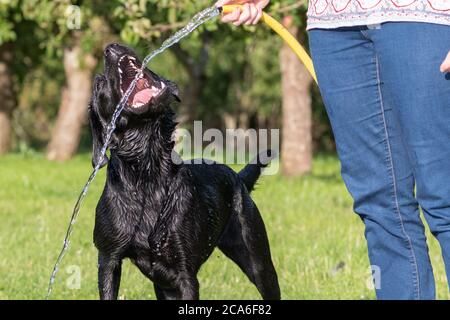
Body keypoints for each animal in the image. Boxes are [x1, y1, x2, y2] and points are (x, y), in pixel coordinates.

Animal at [87, 43, 278, 300]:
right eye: (99, 84)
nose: (110, 47)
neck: (148, 173)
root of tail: (237, 177)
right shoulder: (108, 259)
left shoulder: (184, 275)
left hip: (258, 260)